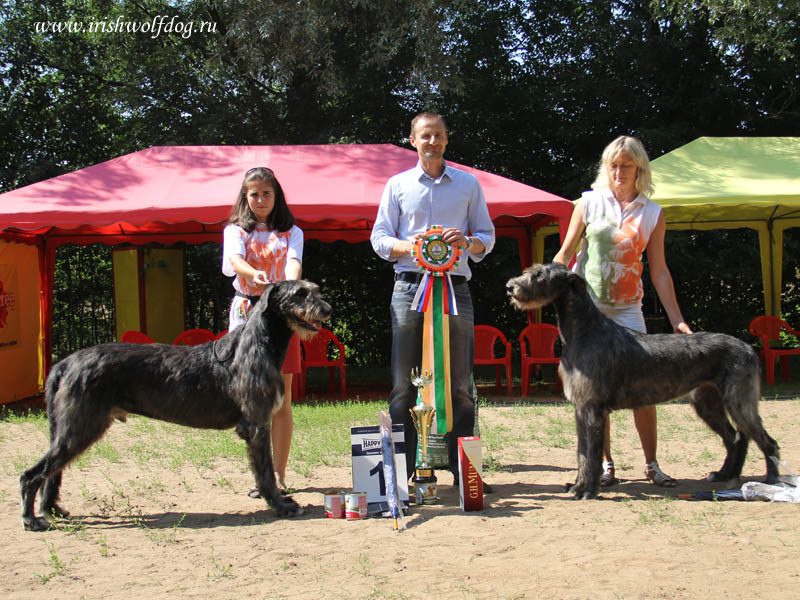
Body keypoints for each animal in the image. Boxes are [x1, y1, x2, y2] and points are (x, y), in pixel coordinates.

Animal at [20, 278, 330, 532]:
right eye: (299, 294)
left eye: (316, 290)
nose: (327, 309)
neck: (257, 344)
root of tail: (64, 364)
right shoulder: (255, 425)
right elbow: (264, 471)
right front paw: (281, 505)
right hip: (81, 425)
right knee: (31, 475)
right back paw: (31, 519)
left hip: (71, 427)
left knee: (52, 472)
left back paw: (52, 509)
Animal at [506, 262, 780, 496]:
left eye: (539, 274)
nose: (510, 286)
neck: (584, 330)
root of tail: (748, 348)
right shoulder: (580, 408)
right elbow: (582, 452)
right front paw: (577, 485)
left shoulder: (592, 407)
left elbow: (591, 454)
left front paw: (587, 490)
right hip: (707, 402)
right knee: (734, 438)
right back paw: (725, 475)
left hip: (738, 401)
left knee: (766, 441)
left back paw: (771, 481)